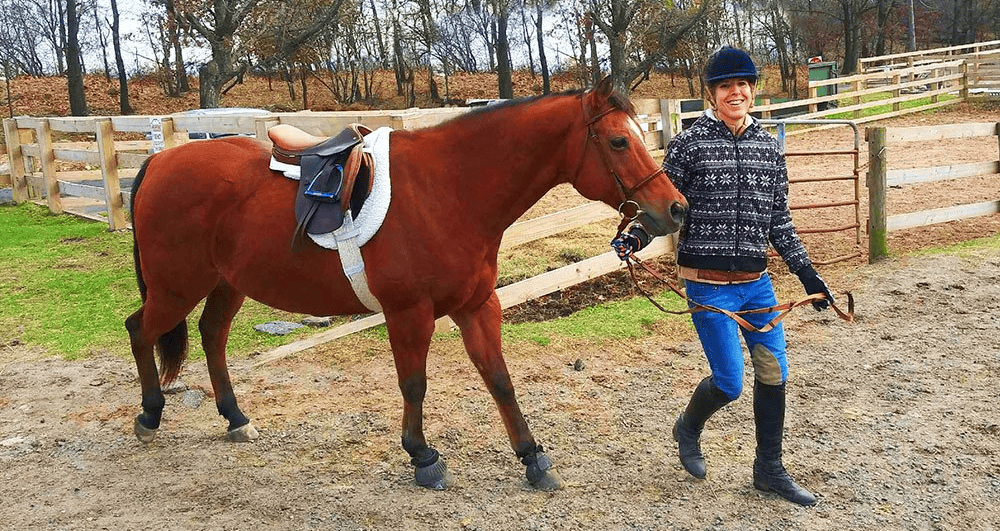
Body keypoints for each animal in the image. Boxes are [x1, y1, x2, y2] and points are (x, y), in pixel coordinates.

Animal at [125, 76, 687, 491]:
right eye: (618, 140)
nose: (676, 208)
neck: (450, 190)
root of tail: (160, 159)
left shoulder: (477, 306)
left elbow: (499, 378)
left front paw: (532, 456)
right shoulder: (408, 313)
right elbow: (414, 383)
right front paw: (422, 456)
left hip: (225, 284)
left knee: (212, 335)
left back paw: (235, 417)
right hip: (176, 287)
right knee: (139, 330)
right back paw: (150, 415)